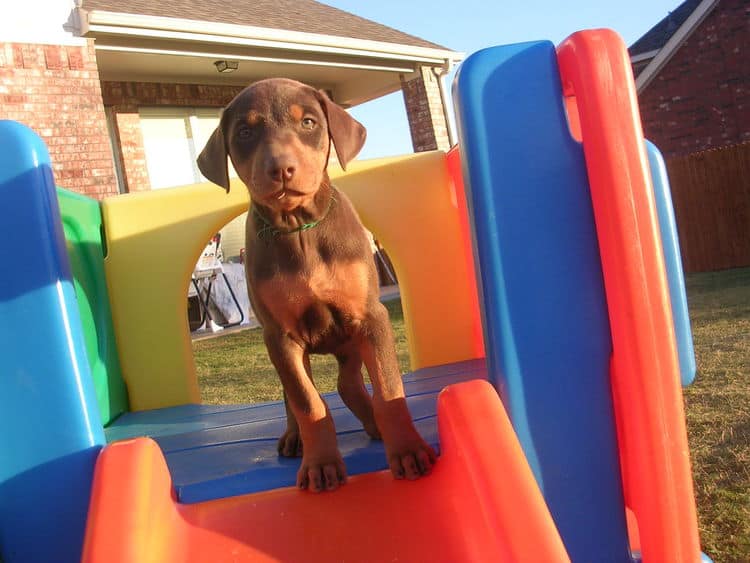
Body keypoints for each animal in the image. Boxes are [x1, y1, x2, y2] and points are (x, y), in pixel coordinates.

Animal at [197, 78, 438, 494]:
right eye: (244, 132)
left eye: (308, 122)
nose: (280, 168)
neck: (299, 229)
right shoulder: (280, 335)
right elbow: (308, 403)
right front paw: (321, 464)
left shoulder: (370, 317)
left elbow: (389, 389)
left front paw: (407, 449)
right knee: (298, 394)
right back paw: (296, 437)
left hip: (351, 339)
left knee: (348, 384)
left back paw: (373, 422)